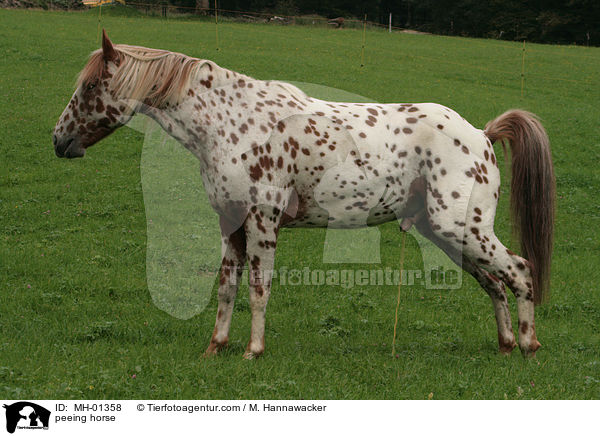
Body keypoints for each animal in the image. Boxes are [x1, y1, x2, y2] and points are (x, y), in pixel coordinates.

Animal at [54, 29, 556, 358]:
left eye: (92, 85)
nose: (59, 140)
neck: (229, 122)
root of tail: (483, 135)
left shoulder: (261, 224)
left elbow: (258, 288)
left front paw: (253, 351)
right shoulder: (230, 225)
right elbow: (226, 288)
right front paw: (216, 347)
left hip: (463, 231)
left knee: (519, 270)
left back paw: (529, 345)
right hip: (448, 236)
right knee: (494, 283)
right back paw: (506, 345)